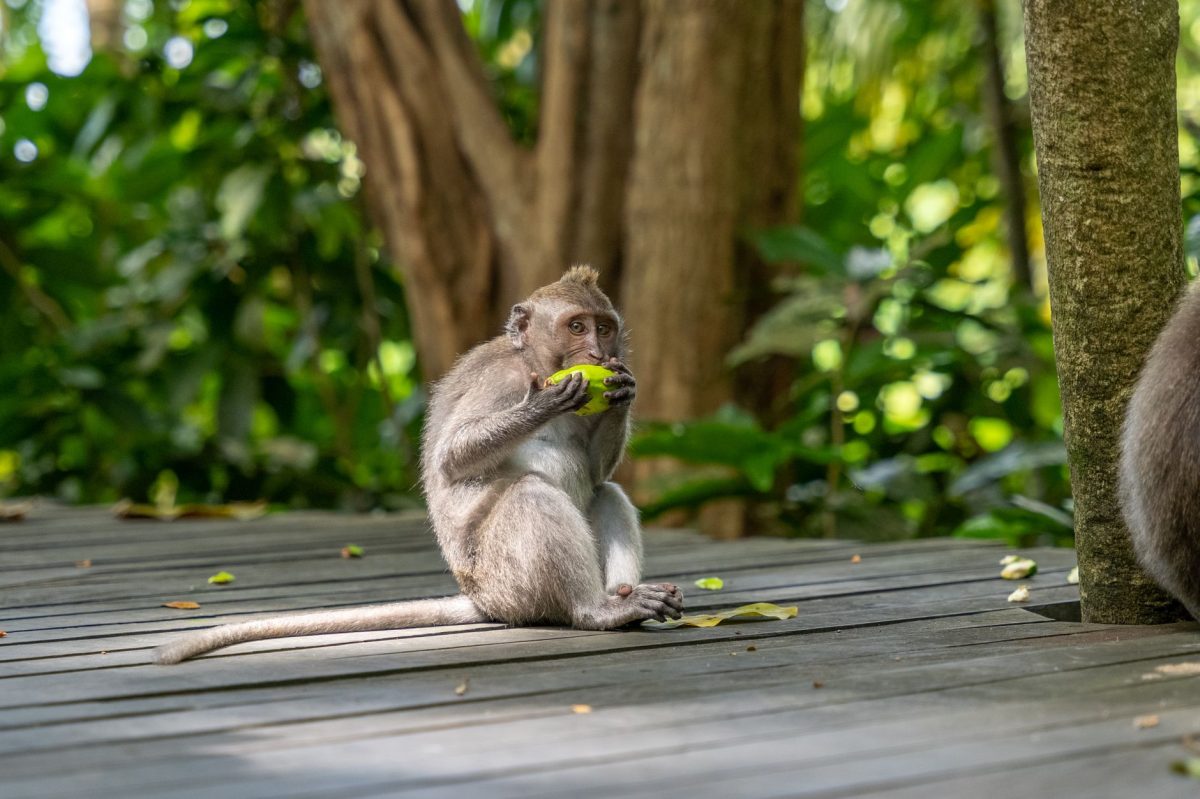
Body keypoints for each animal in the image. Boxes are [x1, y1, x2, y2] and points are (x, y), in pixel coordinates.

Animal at [154, 266, 683, 664]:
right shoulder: (501, 382)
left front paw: (623, 391)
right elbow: (453, 457)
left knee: (606, 494)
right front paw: (545, 403)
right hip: (507, 581)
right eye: (577, 326)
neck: (533, 360)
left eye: (604, 327)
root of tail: (483, 599)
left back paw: (626, 600)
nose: (599, 352)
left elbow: (597, 476)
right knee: (531, 495)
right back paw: (593, 610)